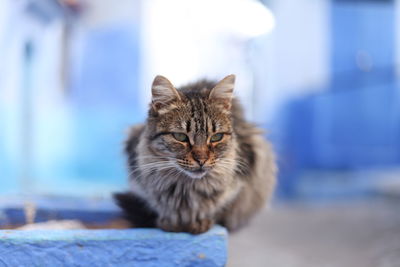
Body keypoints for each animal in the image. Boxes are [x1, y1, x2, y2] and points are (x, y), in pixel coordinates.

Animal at [114, 75, 276, 234]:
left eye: (216, 137)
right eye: (180, 137)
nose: (201, 160)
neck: (185, 189)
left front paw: (200, 222)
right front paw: (170, 222)